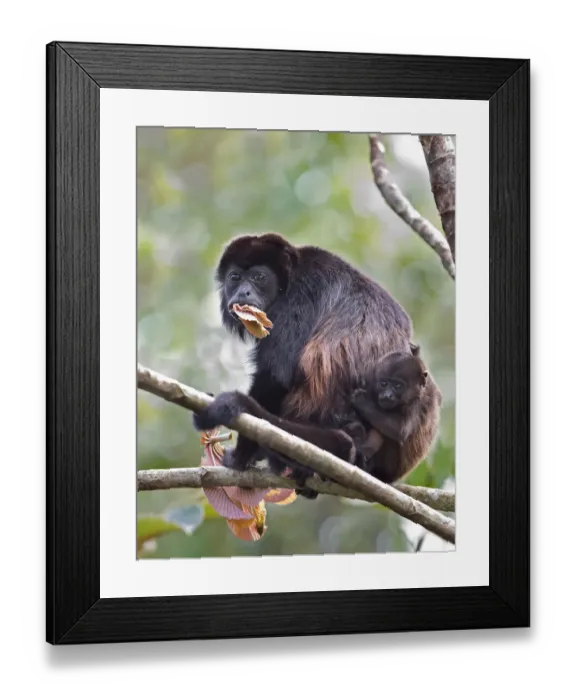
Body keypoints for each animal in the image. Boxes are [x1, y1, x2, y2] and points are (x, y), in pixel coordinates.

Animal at [192, 232, 414, 495]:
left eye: (259, 277)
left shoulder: (300, 295)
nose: (243, 292)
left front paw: (241, 458)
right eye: (235, 277)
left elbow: (276, 376)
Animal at [342, 345, 442, 485]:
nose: (387, 395)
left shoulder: (415, 404)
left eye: (397, 386)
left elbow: (400, 431)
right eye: (384, 384)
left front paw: (360, 400)